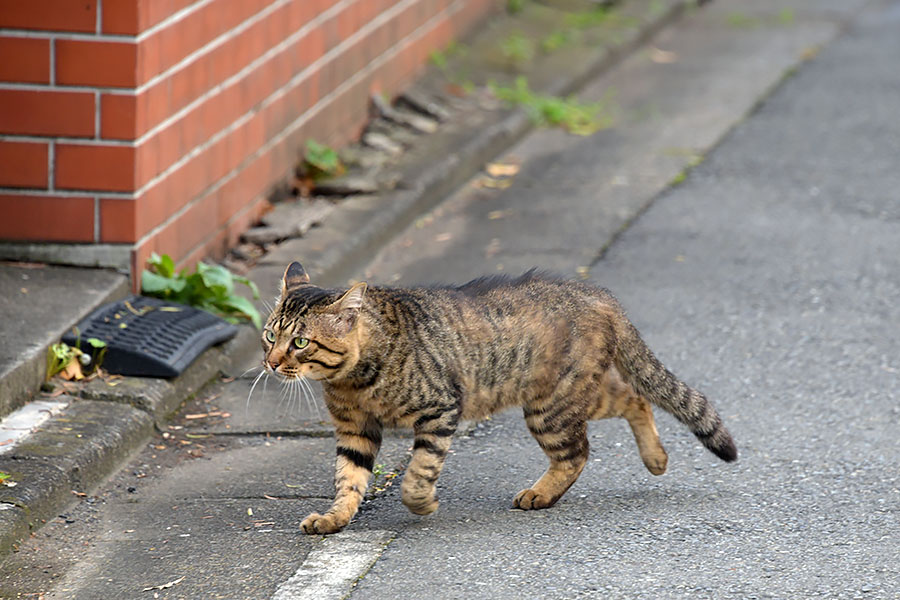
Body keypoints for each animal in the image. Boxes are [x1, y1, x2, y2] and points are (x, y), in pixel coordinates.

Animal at [262, 262, 740, 536]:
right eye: (269, 335)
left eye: (300, 342)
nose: (270, 361)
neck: (353, 379)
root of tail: (596, 293)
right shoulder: (354, 431)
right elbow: (348, 480)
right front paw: (335, 518)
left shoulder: (439, 410)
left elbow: (419, 471)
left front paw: (422, 502)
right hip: (573, 394)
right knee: (634, 398)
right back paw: (655, 459)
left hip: (552, 405)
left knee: (579, 450)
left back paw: (541, 494)